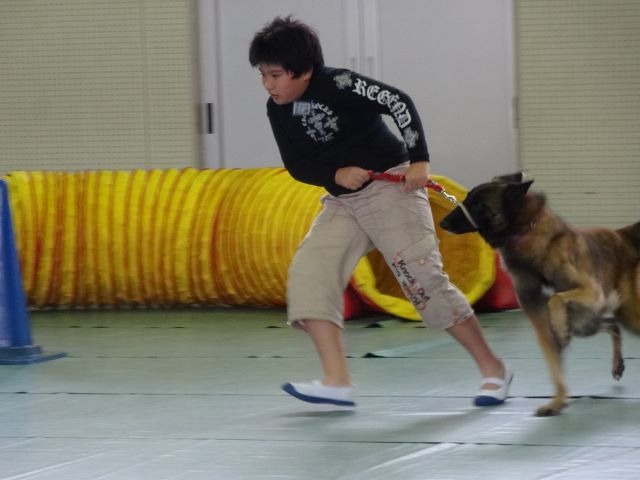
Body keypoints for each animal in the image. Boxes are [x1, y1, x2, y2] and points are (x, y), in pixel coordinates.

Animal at [440, 172, 640, 416]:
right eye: (468, 198)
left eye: (478, 204)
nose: (442, 223)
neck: (523, 232)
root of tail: (622, 235)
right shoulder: (540, 322)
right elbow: (554, 367)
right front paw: (558, 401)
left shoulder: (591, 290)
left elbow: (556, 298)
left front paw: (560, 327)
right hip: (586, 322)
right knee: (613, 325)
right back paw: (617, 364)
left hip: (627, 314)